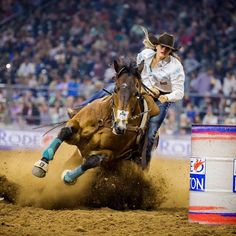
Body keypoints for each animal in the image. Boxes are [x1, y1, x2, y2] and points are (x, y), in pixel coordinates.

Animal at [31, 59, 160, 184]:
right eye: (115, 89)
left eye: (136, 93)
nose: (120, 126)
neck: (106, 120)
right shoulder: (76, 125)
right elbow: (65, 131)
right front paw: (41, 164)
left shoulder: (108, 154)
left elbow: (91, 162)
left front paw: (68, 177)